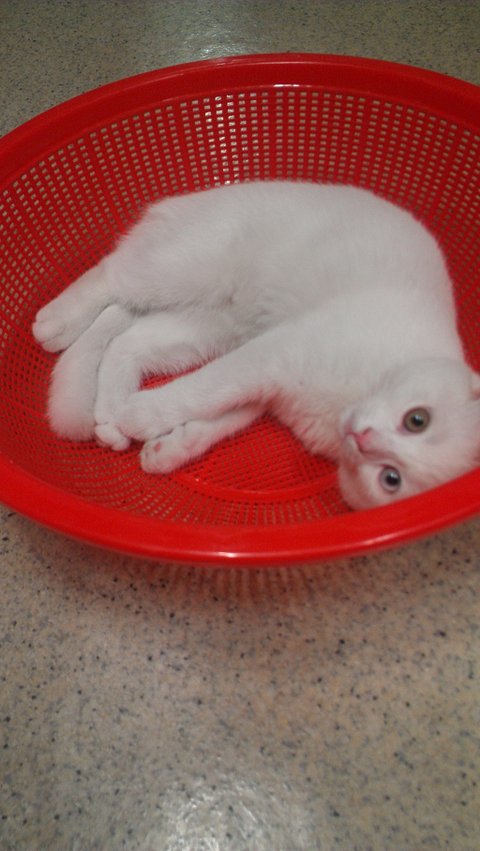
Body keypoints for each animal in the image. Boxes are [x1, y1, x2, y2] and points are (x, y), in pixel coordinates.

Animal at [32, 181, 480, 510]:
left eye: (391, 479)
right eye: (417, 419)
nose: (363, 437)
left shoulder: (266, 389)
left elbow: (216, 419)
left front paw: (167, 449)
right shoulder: (273, 353)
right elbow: (199, 392)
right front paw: (141, 415)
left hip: (206, 328)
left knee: (125, 336)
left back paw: (108, 417)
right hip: (182, 272)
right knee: (110, 274)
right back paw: (56, 323)